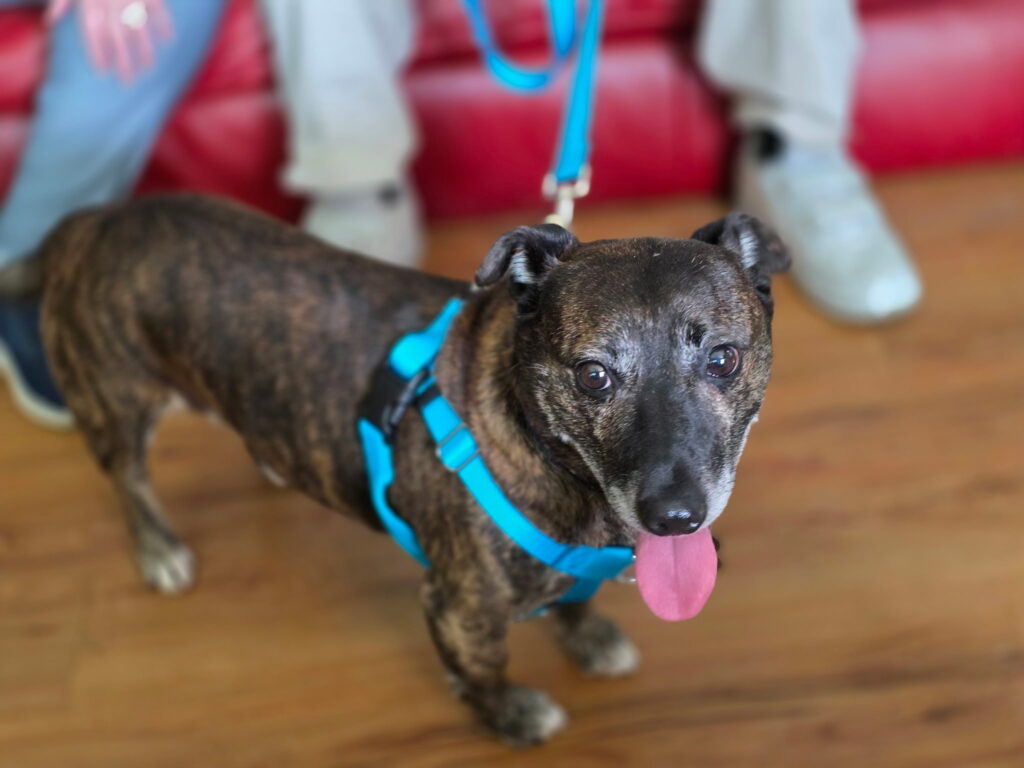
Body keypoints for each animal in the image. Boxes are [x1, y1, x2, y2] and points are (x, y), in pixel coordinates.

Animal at [40, 194, 788, 745]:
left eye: (724, 359)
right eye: (594, 375)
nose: (676, 516)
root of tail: (94, 218)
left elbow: (577, 600)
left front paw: (589, 637)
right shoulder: (458, 608)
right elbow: (485, 672)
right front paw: (511, 716)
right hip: (115, 402)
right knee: (128, 479)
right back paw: (159, 549)